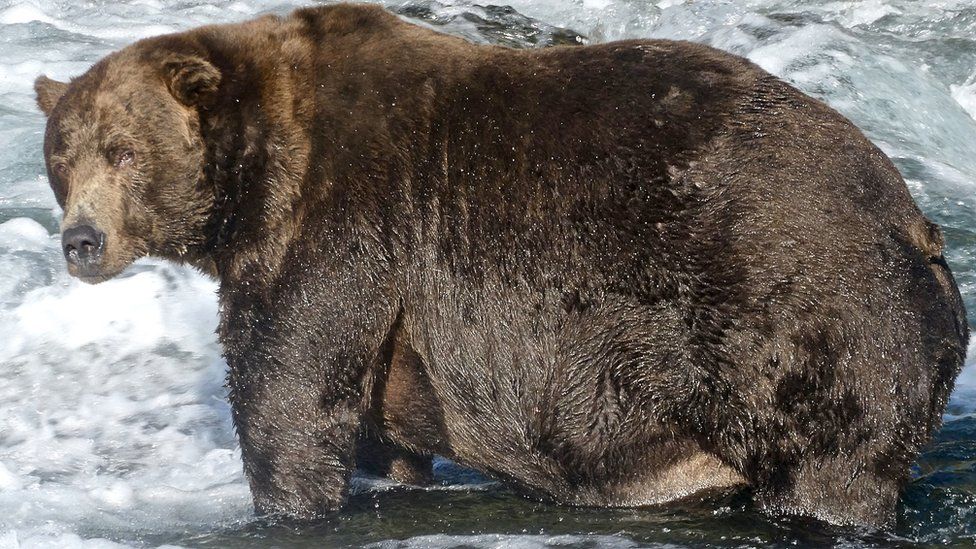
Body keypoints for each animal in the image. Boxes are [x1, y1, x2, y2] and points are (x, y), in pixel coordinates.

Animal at [32, 2, 968, 528]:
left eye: (122, 149)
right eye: (61, 157)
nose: (81, 241)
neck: (256, 177)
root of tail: (917, 223)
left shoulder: (344, 220)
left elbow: (289, 388)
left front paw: (283, 502)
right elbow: (372, 427)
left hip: (805, 320)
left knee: (830, 464)